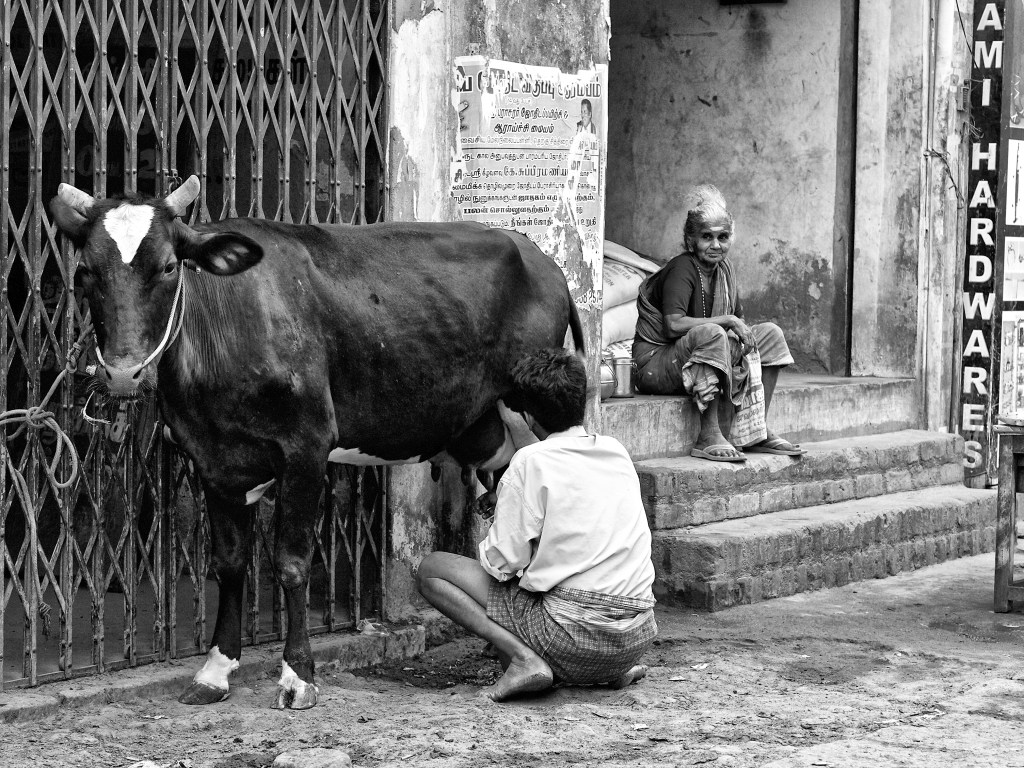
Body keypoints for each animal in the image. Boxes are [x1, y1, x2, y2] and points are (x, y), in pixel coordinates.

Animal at [50, 176, 584, 709]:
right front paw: (216, 670)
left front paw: (297, 674)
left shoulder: (305, 446)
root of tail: (535, 252)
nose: (123, 373)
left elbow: (291, 561)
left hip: (530, 407)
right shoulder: (213, 459)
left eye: (166, 266)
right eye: (85, 271)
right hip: (481, 427)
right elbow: (229, 564)